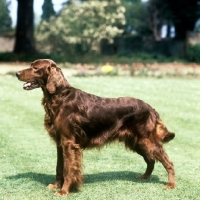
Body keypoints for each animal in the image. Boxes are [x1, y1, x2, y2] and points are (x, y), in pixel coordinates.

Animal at [15, 59, 175, 195]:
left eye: (35, 68)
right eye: (31, 65)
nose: (16, 73)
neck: (59, 96)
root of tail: (151, 108)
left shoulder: (68, 143)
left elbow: (68, 169)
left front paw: (64, 191)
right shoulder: (60, 143)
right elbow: (59, 167)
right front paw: (56, 186)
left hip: (147, 140)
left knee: (167, 161)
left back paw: (171, 184)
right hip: (137, 141)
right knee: (151, 160)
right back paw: (145, 177)